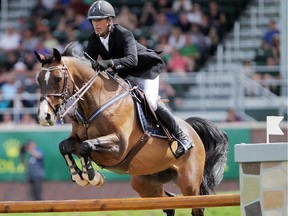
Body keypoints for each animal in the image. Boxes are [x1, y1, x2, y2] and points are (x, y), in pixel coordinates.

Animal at [34, 42, 227, 216]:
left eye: (58, 78)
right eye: (38, 80)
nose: (45, 117)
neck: (96, 99)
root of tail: (192, 130)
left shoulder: (119, 146)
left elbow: (86, 146)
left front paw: (92, 177)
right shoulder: (78, 139)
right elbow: (65, 146)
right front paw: (78, 176)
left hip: (189, 182)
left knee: (196, 206)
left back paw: (183, 143)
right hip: (146, 183)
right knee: (168, 202)